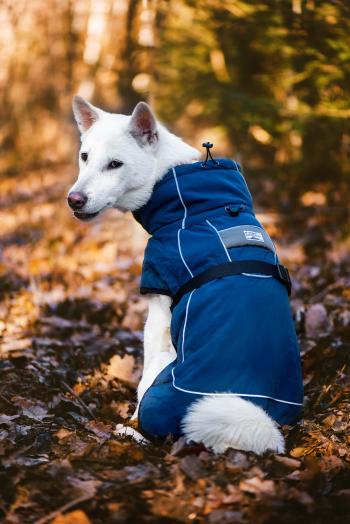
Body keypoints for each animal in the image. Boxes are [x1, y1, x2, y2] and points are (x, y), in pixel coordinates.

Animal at [69, 98, 304, 454]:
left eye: (115, 164)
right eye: (85, 156)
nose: (74, 200)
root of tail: (261, 416)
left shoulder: (157, 315)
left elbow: (143, 379)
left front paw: (130, 423)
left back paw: (130, 431)